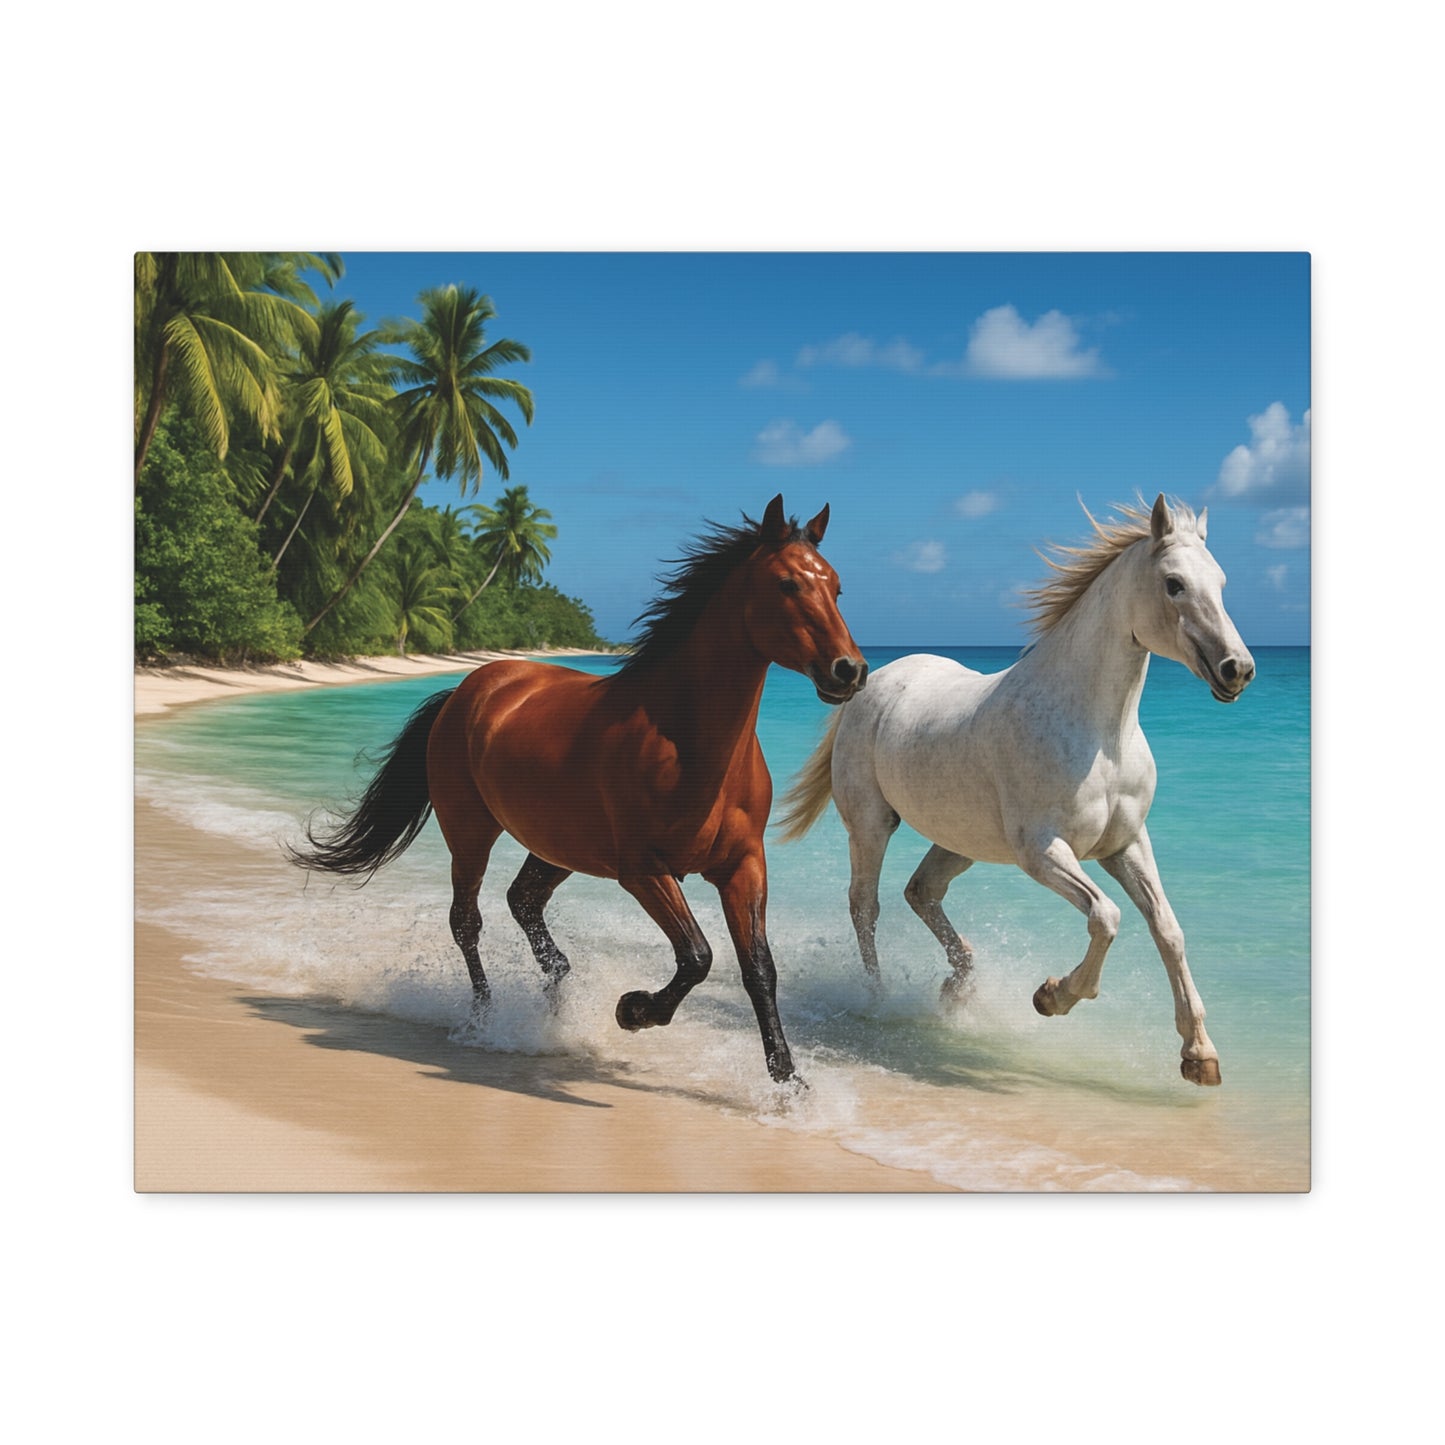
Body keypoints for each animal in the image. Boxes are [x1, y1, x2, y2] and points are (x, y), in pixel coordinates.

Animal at [290, 495, 866, 1085]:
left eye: (837, 587)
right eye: (787, 584)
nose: (850, 670)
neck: (684, 742)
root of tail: (468, 688)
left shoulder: (743, 866)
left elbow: (759, 969)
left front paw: (789, 1082)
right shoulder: (642, 870)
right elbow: (697, 955)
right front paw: (633, 1010)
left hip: (559, 847)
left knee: (522, 902)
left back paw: (555, 995)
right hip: (471, 833)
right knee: (467, 922)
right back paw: (484, 1020)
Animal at [778, 494, 1253, 1086]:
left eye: (1222, 581)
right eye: (1174, 584)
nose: (1238, 670)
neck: (1099, 734)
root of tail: (871, 680)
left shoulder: (1126, 845)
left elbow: (1167, 929)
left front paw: (1199, 1054)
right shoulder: (1042, 852)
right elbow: (1107, 917)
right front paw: (1052, 996)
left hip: (961, 841)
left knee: (922, 891)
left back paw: (957, 986)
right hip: (871, 825)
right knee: (866, 905)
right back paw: (877, 999)